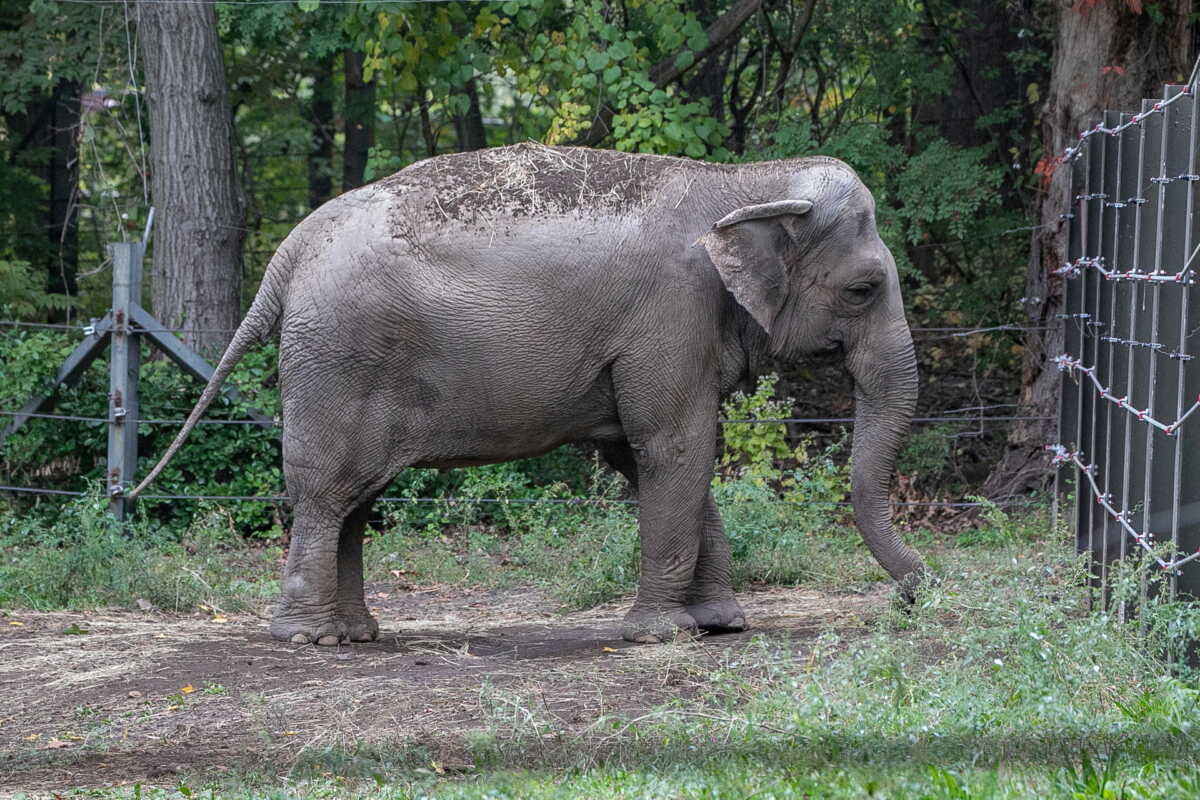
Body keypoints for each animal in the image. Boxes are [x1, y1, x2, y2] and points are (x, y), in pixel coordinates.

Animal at [138, 142, 926, 642]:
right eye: (863, 289)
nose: (917, 593)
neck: (745, 182)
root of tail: (291, 249)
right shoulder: (670, 316)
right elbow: (674, 446)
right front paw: (662, 636)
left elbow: (657, 455)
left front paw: (721, 625)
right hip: (337, 359)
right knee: (327, 491)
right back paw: (307, 641)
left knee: (355, 499)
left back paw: (356, 634)